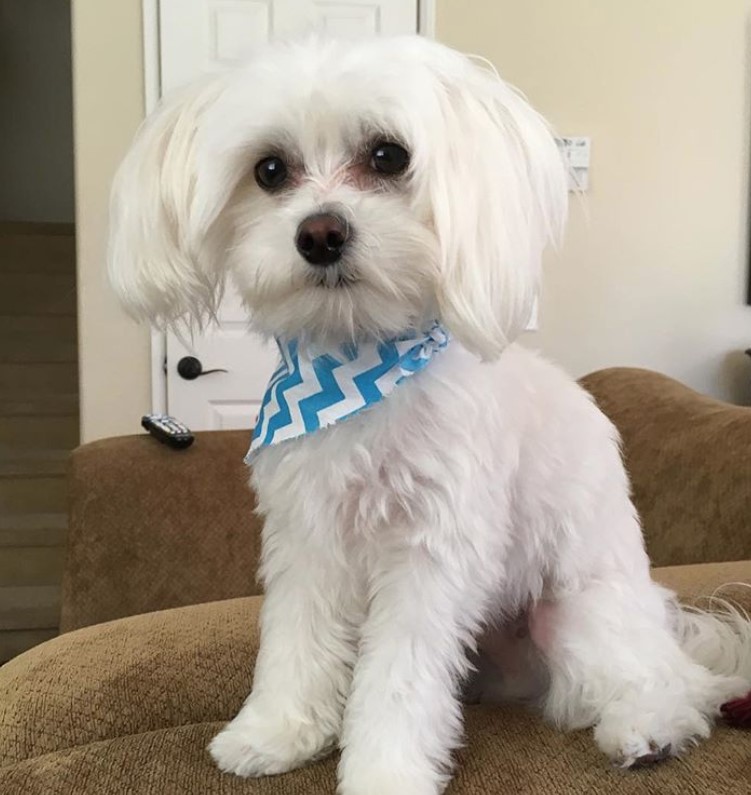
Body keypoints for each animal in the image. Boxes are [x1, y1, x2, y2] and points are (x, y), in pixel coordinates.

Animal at [108, 34, 748, 792]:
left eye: (388, 156)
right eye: (269, 170)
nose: (319, 233)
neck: (356, 365)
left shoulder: (430, 555)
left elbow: (398, 679)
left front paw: (384, 771)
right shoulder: (308, 538)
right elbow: (295, 640)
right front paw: (278, 730)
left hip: (583, 614)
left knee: (668, 684)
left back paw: (649, 727)